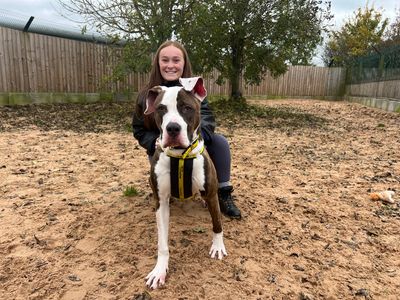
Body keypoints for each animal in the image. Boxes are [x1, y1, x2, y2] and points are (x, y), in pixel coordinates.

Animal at [144, 77, 227, 288]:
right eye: (161, 109)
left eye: (187, 108)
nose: (172, 128)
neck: (181, 155)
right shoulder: (161, 202)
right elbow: (162, 243)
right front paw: (160, 269)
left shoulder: (212, 194)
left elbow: (217, 223)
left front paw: (217, 247)